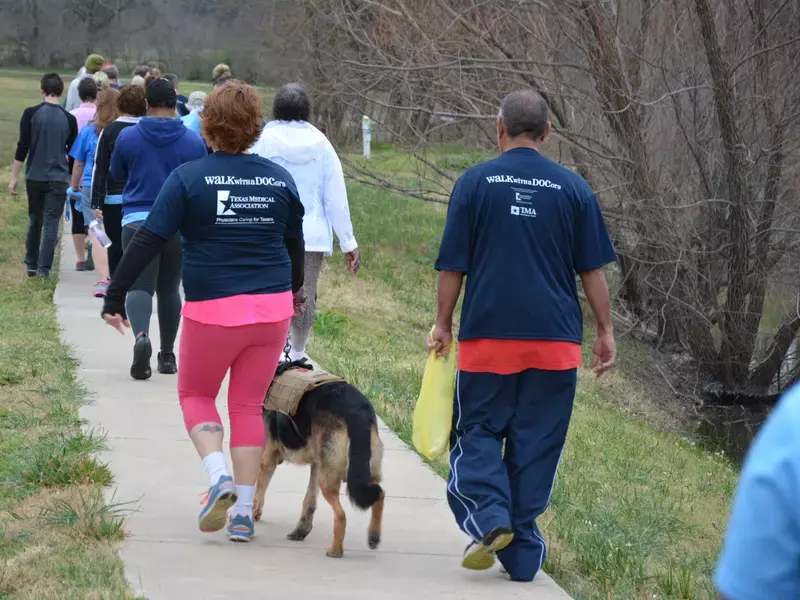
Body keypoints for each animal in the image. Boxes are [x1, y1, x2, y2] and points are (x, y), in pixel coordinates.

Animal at [253, 356, 384, 556]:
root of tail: (358, 413)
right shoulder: (316, 464)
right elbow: (310, 500)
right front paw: (301, 529)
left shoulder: (267, 457)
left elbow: (259, 489)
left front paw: (253, 514)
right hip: (360, 470)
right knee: (379, 494)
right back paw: (373, 537)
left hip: (329, 477)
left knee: (341, 514)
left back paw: (335, 550)